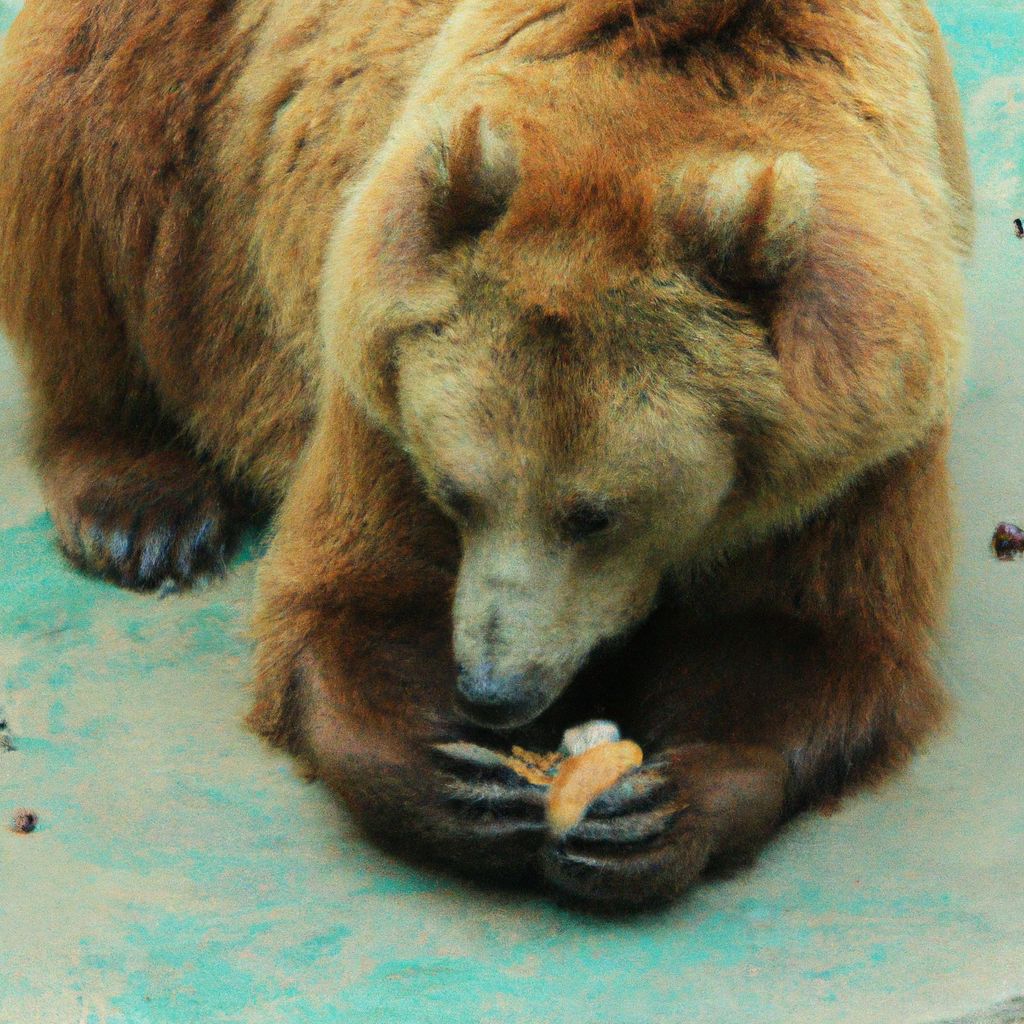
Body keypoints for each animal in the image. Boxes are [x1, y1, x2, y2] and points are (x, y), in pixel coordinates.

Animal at [0, 0, 970, 913]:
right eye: (457, 492)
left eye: (596, 515)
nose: (491, 687)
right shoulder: (380, 373)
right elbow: (356, 592)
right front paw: (464, 782)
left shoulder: (849, 454)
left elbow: (802, 639)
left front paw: (655, 811)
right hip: (195, 148)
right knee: (80, 150)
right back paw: (143, 511)